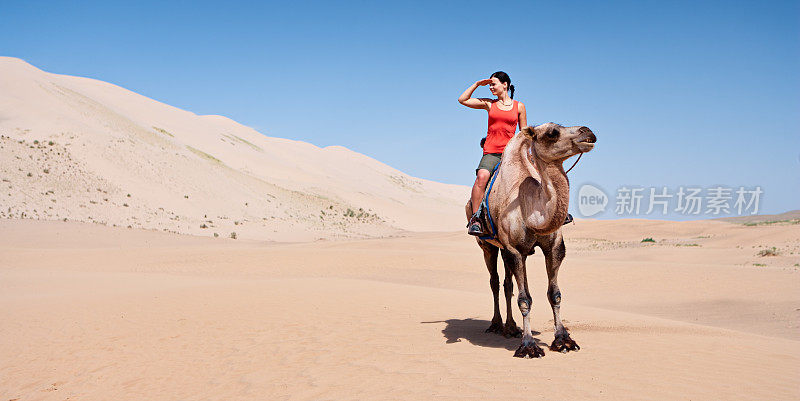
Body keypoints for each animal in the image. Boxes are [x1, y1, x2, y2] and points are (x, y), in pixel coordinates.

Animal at [468, 123, 592, 358]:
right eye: (552, 133)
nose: (588, 131)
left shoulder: (553, 247)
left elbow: (555, 294)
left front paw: (563, 340)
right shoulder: (514, 249)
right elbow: (524, 299)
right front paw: (529, 346)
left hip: (509, 251)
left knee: (507, 284)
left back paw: (511, 328)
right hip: (488, 246)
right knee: (494, 281)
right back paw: (496, 325)